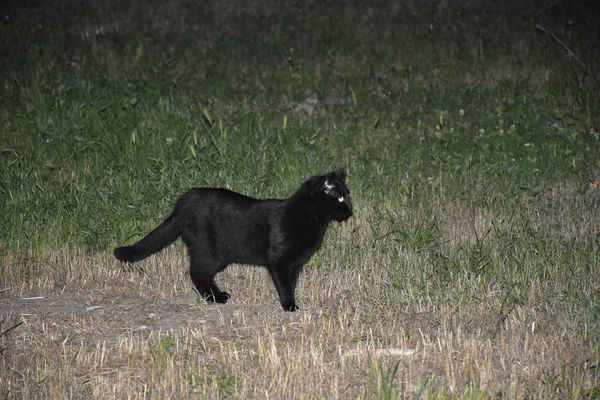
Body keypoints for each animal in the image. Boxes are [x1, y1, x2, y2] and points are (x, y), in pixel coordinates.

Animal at [113, 170, 352, 310]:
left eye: (347, 196)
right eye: (340, 198)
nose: (351, 209)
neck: (309, 216)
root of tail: (182, 203)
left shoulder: (294, 264)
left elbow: (291, 282)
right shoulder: (278, 259)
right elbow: (284, 284)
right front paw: (289, 306)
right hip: (211, 253)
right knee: (196, 273)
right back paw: (216, 298)